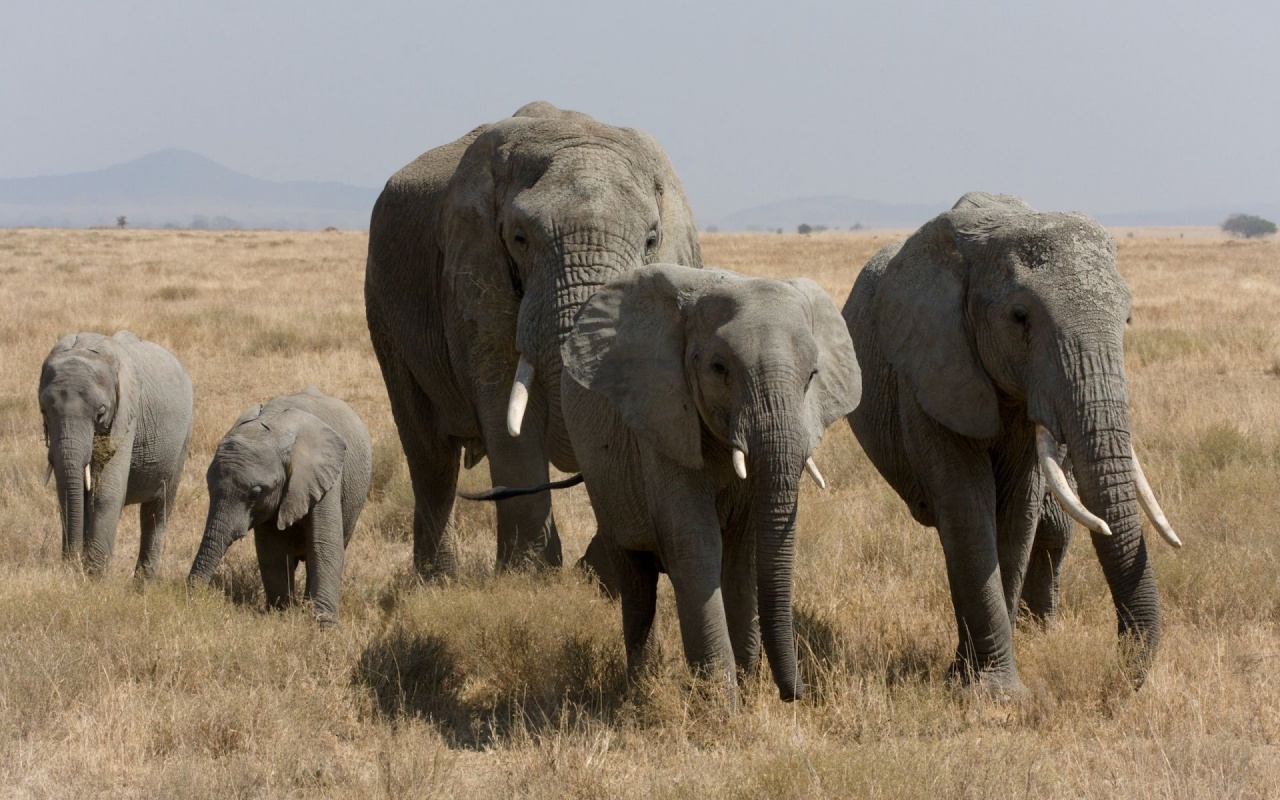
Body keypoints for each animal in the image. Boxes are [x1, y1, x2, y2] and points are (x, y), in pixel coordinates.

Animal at [186, 386, 373, 624]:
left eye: (254, 494)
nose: (192, 596)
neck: (274, 424)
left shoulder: (324, 477)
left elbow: (325, 545)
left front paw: (323, 626)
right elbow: (272, 549)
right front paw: (281, 614)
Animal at [360, 99, 701, 576]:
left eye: (652, 240)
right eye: (519, 238)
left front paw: (599, 571)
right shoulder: (475, 272)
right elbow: (505, 401)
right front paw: (530, 575)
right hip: (384, 307)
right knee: (429, 454)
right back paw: (438, 579)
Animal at [560, 264, 860, 701]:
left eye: (812, 376)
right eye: (720, 369)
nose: (800, 693)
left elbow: (741, 555)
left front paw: (747, 691)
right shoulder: (664, 417)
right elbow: (696, 544)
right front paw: (722, 703)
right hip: (601, 474)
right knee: (636, 581)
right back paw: (641, 690)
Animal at [844, 190, 1182, 696]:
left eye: (1127, 318)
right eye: (1019, 318)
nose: (1121, 678)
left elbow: (1017, 511)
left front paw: (979, 682)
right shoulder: (930, 372)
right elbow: (969, 507)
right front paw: (991, 693)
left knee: (1054, 524)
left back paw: (1037, 630)